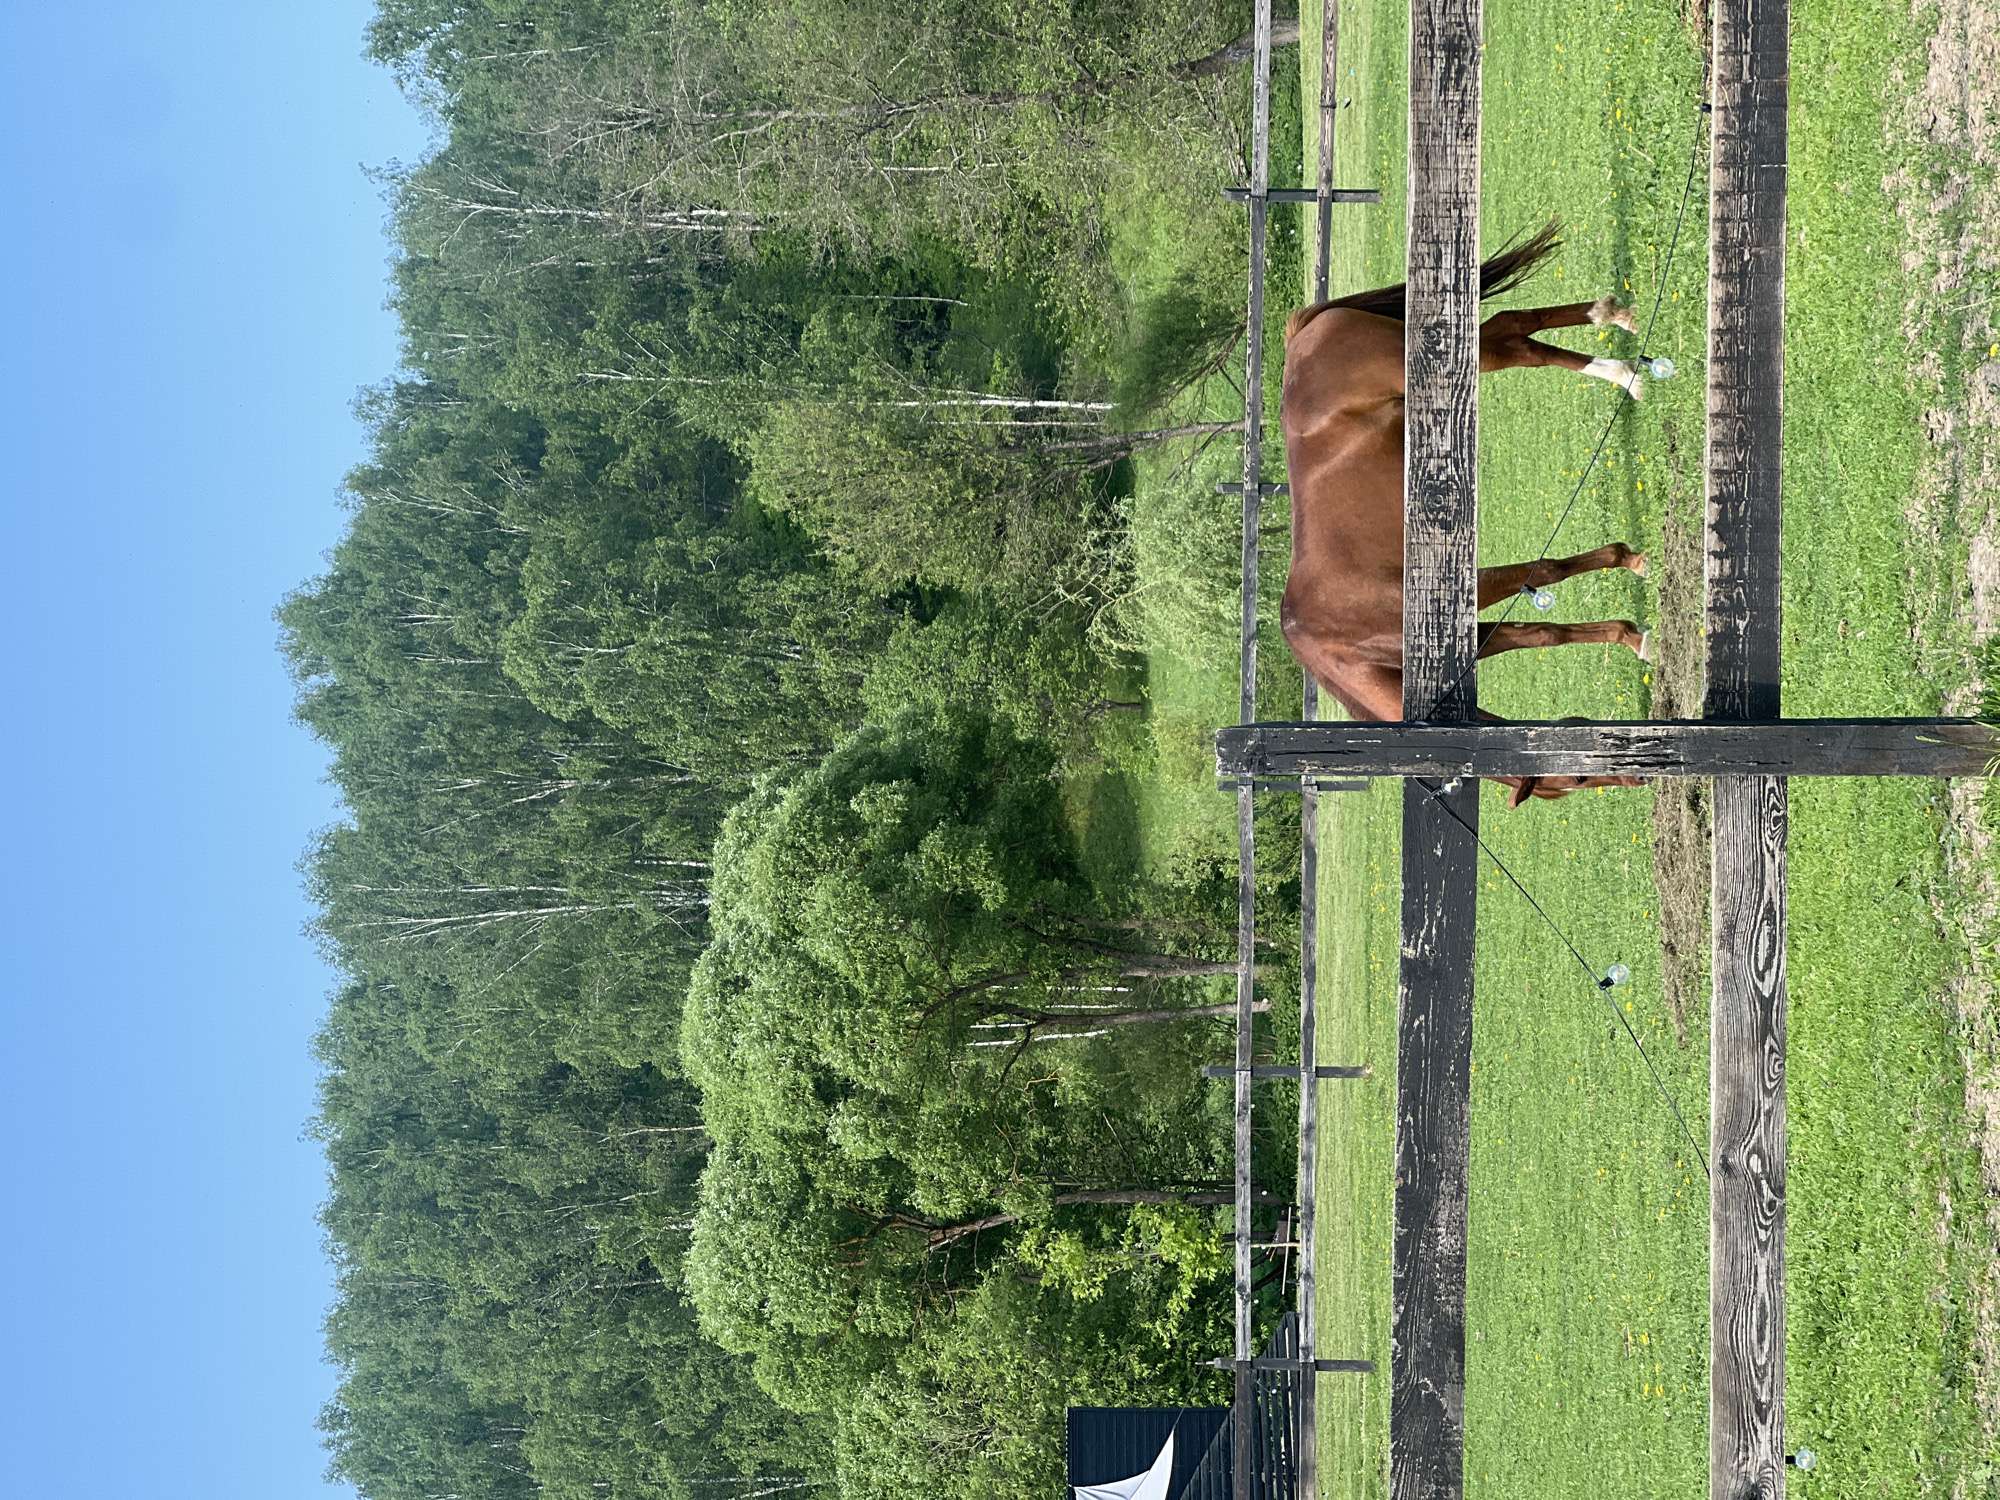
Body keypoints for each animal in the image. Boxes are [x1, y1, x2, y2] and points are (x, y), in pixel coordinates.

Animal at [1277, 225, 1652, 807]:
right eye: (1577, 781)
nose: (1639, 774)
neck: (1346, 646)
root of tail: (1303, 338)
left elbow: (1544, 574)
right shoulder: (1473, 634)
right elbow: (1542, 632)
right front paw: (1629, 629)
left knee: (1508, 342)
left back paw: (1622, 362)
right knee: (1509, 333)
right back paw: (1615, 333)